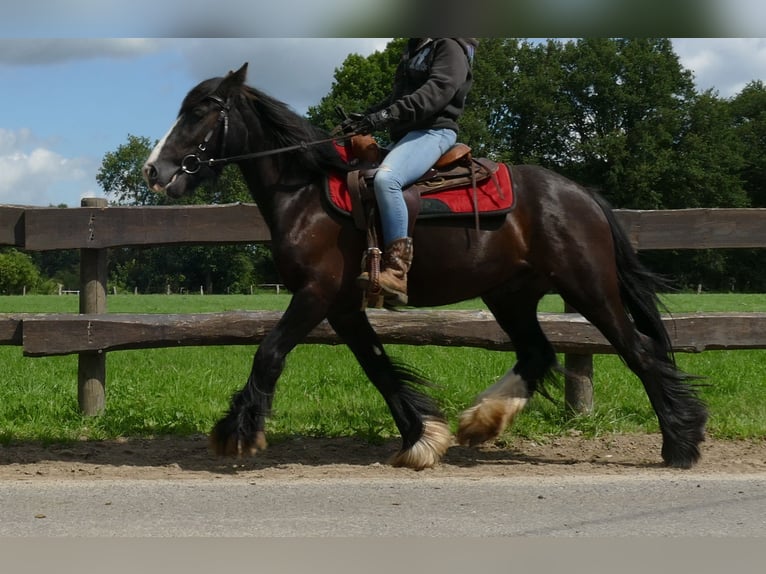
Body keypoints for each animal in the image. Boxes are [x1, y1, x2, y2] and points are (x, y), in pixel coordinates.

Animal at [142, 64, 708, 472]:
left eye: (200, 111)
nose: (154, 170)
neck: (305, 193)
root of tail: (580, 194)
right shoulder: (343, 306)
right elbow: (378, 368)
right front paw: (422, 439)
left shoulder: (315, 293)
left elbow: (269, 351)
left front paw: (237, 433)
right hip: (511, 294)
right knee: (538, 352)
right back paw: (481, 421)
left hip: (589, 288)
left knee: (638, 352)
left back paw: (681, 442)